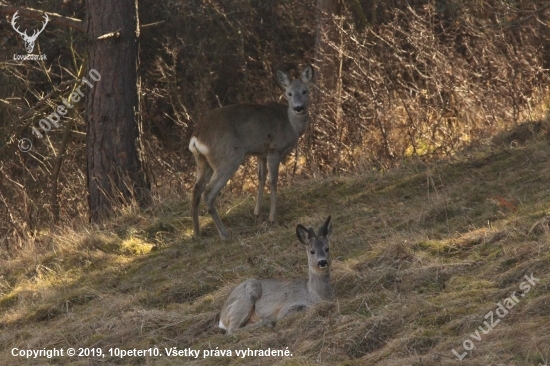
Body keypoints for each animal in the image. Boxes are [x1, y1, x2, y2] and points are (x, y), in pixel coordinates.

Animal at [190, 64, 314, 239]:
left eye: (305, 91)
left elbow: (261, 179)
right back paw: (224, 234)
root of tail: (196, 136)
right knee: (207, 193)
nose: (298, 107)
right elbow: (273, 181)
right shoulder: (274, 149)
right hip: (228, 157)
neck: (291, 125)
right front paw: (272, 218)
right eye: (288, 93)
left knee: (195, 191)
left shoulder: (260, 152)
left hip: (203, 161)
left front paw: (257, 214)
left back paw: (197, 233)